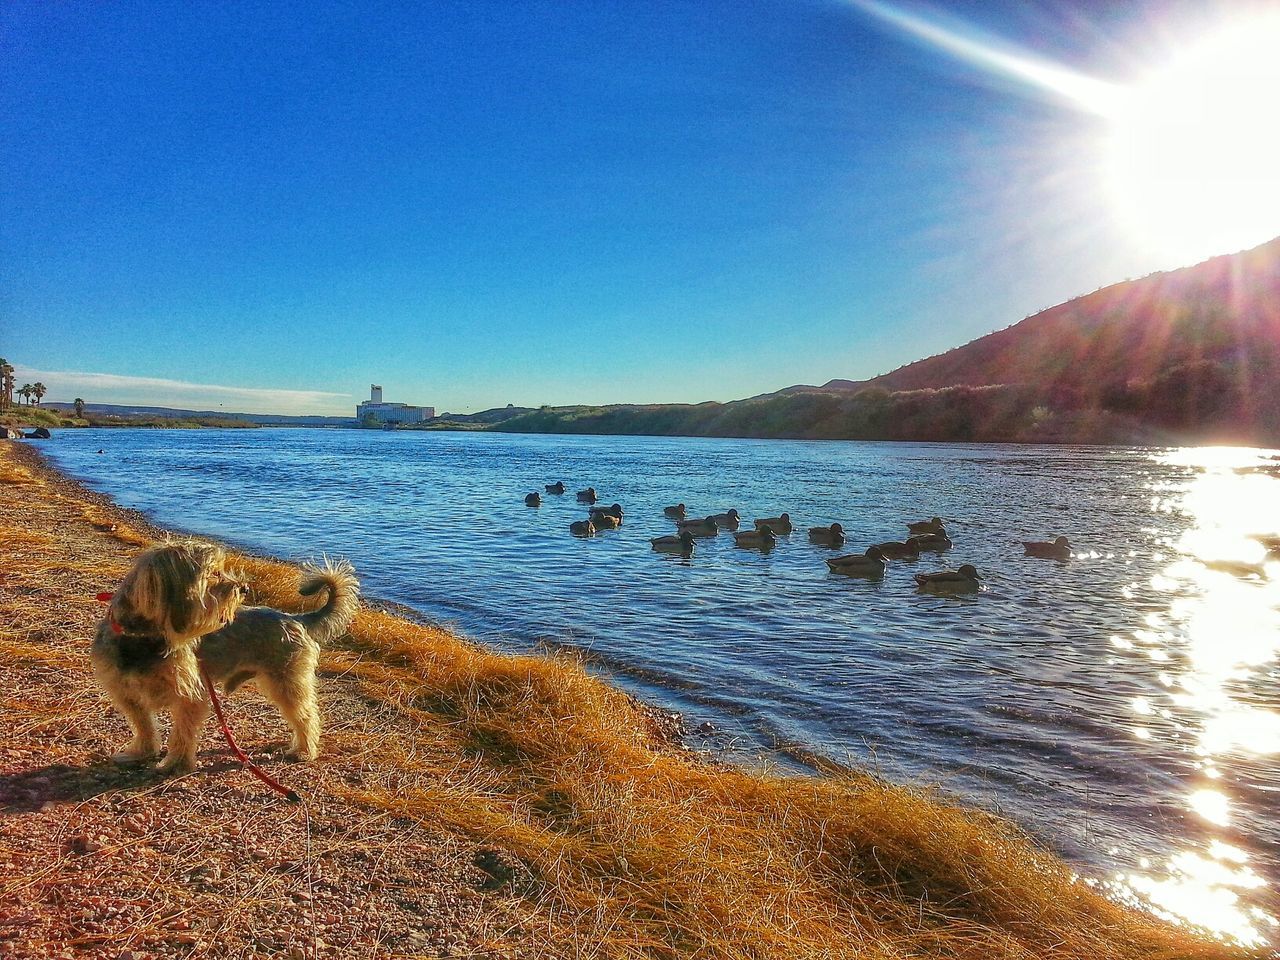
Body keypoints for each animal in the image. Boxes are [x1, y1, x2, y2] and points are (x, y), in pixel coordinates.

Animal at [93, 545, 360, 778]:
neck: (143, 639)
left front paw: (175, 764)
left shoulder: (191, 696)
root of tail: (296, 618)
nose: (244, 588)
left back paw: (304, 750)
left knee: (306, 717)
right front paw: (142, 752)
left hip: (288, 684)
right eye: (213, 573)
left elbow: (182, 733)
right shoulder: (127, 694)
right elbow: (144, 725)